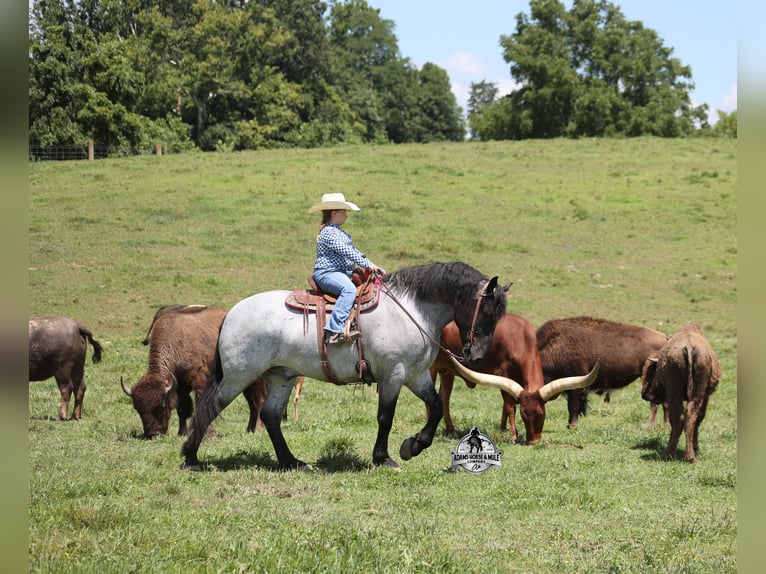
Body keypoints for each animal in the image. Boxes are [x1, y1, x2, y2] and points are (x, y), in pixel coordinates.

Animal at [181, 261, 510, 471]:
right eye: (486, 311)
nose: (477, 357)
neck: (412, 309)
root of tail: (232, 312)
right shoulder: (393, 375)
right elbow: (385, 417)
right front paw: (383, 458)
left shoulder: (416, 376)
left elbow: (437, 407)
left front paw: (413, 446)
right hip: (238, 376)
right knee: (211, 407)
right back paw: (191, 459)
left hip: (281, 377)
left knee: (270, 416)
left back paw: (291, 462)